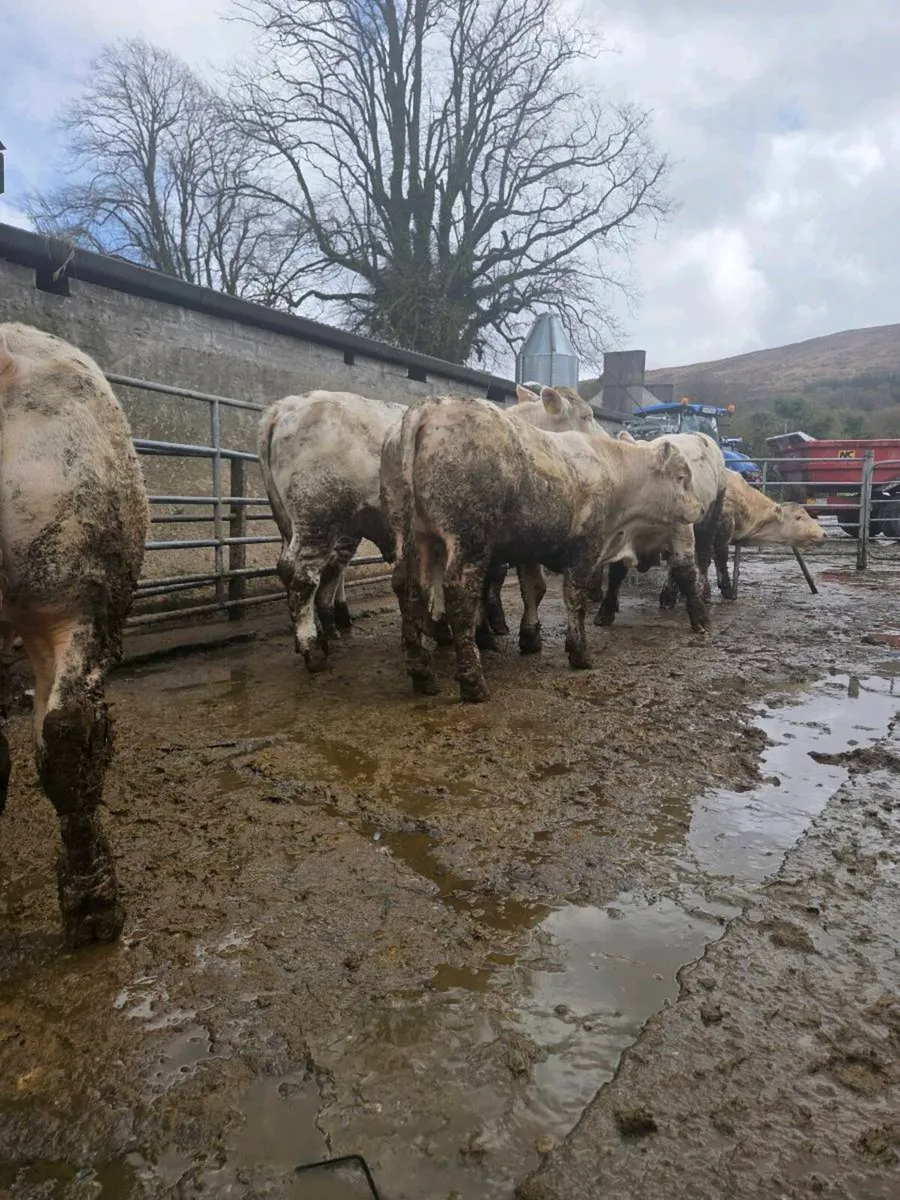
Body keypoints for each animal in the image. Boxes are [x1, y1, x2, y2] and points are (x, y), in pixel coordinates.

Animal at [389, 392, 703, 702]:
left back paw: (422, 672)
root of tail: (433, 406)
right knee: (460, 596)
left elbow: (534, 589)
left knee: (408, 588)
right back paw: (473, 682)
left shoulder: (529, 549)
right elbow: (575, 600)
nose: (700, 509)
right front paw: (579, 652)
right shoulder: (584, 548)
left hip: (413, 535)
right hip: (469, 539)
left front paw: (531, 639)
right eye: (681, 477)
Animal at [594, 431, 727, 633]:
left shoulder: (681, 531)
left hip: (711, 518)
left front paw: (699, 616)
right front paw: (606, 610)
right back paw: (669, 594)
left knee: (703, 558)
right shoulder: (622, 536)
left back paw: (703, 591)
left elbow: (684, 570)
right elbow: (617, 572)